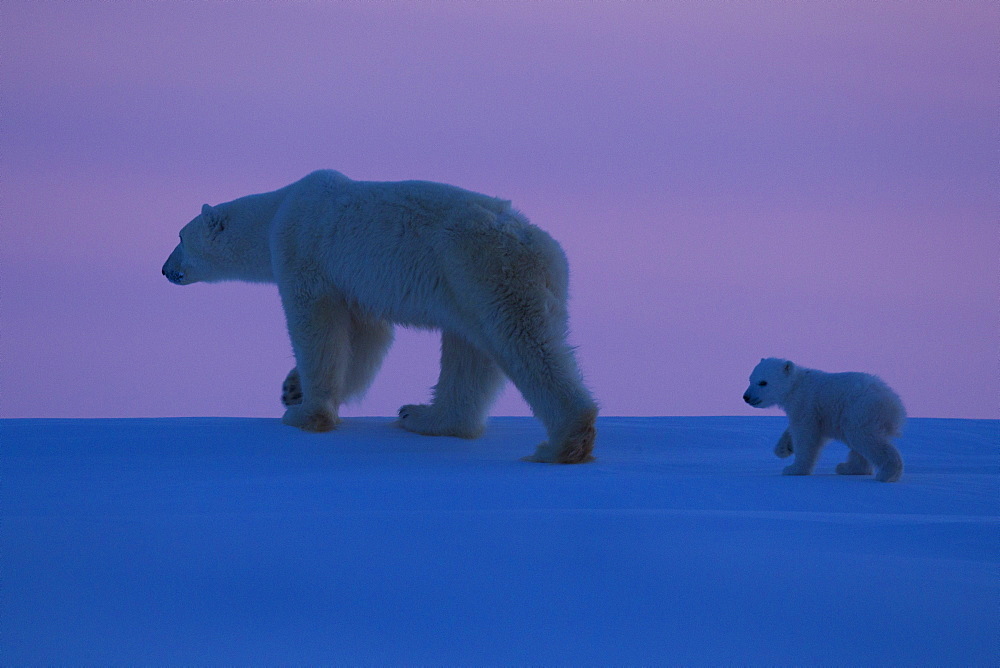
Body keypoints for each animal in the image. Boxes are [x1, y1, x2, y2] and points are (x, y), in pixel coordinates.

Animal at [161, 170, 596, 462]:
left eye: (179, 237)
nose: (165, 269)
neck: (275, 212)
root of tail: (549, 255)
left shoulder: (303, 251)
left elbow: (317, 326)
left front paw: (304, 412)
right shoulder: (353, 284)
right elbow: (366, 338)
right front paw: (293, 389)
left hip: (485, 267)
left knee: (524, 342)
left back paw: (564, 442)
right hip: (467, 286)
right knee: (471, 350)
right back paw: (425, 417)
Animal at [744, 358, 908, 482]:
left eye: (763, 382)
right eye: (750, 379)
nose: (746, 397)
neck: (796, 385)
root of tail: (895, 404)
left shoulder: (806, 404)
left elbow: (805, 435)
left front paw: (794, 469)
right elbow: (794, 428)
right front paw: (783, 449)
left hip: (860, 409)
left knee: (864, 438)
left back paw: (887, 473)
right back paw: (847, 467)